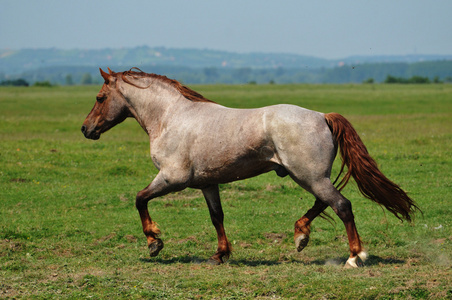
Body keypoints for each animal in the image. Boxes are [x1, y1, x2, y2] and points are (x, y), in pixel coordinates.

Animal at [82, 68, 420, 268]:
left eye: (99, 97)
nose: (86, 129)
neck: (170, 117)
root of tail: (322, 116)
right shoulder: (207, 183)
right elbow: (216, 217)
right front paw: (220, 254)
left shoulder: (172, 178)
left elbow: (140, 198)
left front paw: (154, 242)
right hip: (310, 176)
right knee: (325, 202)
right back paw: (301, 235)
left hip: (308, 176)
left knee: (341, 205)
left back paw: (353, 255)